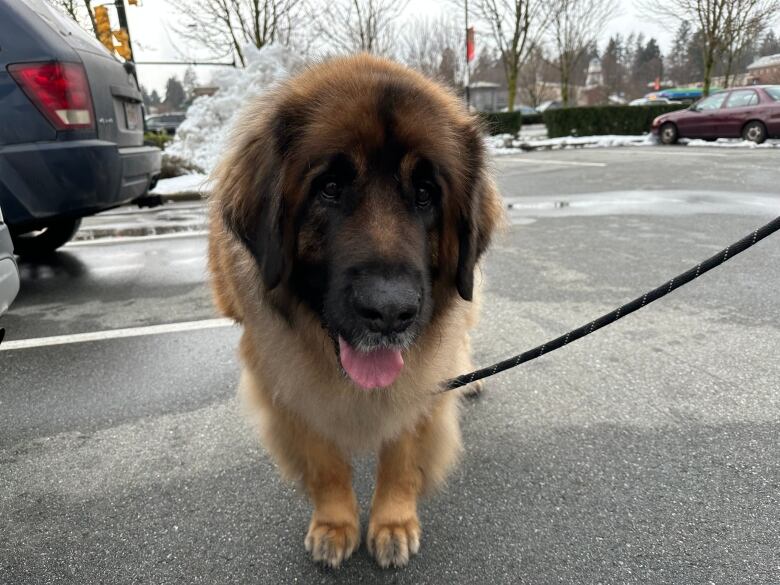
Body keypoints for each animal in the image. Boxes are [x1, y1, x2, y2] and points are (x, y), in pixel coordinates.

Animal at [206, 54, 500, 564]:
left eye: (425, 193)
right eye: (329, 188)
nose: (390, 311)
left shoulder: (417, 379)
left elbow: (402, 452)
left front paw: (393, 522)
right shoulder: (287, 376)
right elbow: (324, 461)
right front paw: (335, 523)